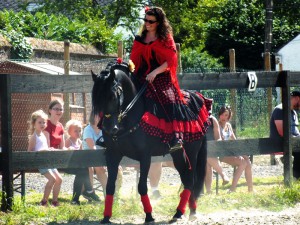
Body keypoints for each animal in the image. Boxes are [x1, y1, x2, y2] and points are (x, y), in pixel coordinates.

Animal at [91, 59, 209, 223]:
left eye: (114, 95)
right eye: (96, 98)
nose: (109, 128)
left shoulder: (145, 156)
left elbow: (142, 186)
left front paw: (149, 216)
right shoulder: (112, 154)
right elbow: (109, 186)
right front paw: (106, 217)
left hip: (192, 151)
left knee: (190, 180)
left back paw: (180, 212)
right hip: (179, 154)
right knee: (187, 179)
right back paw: (188, 211)